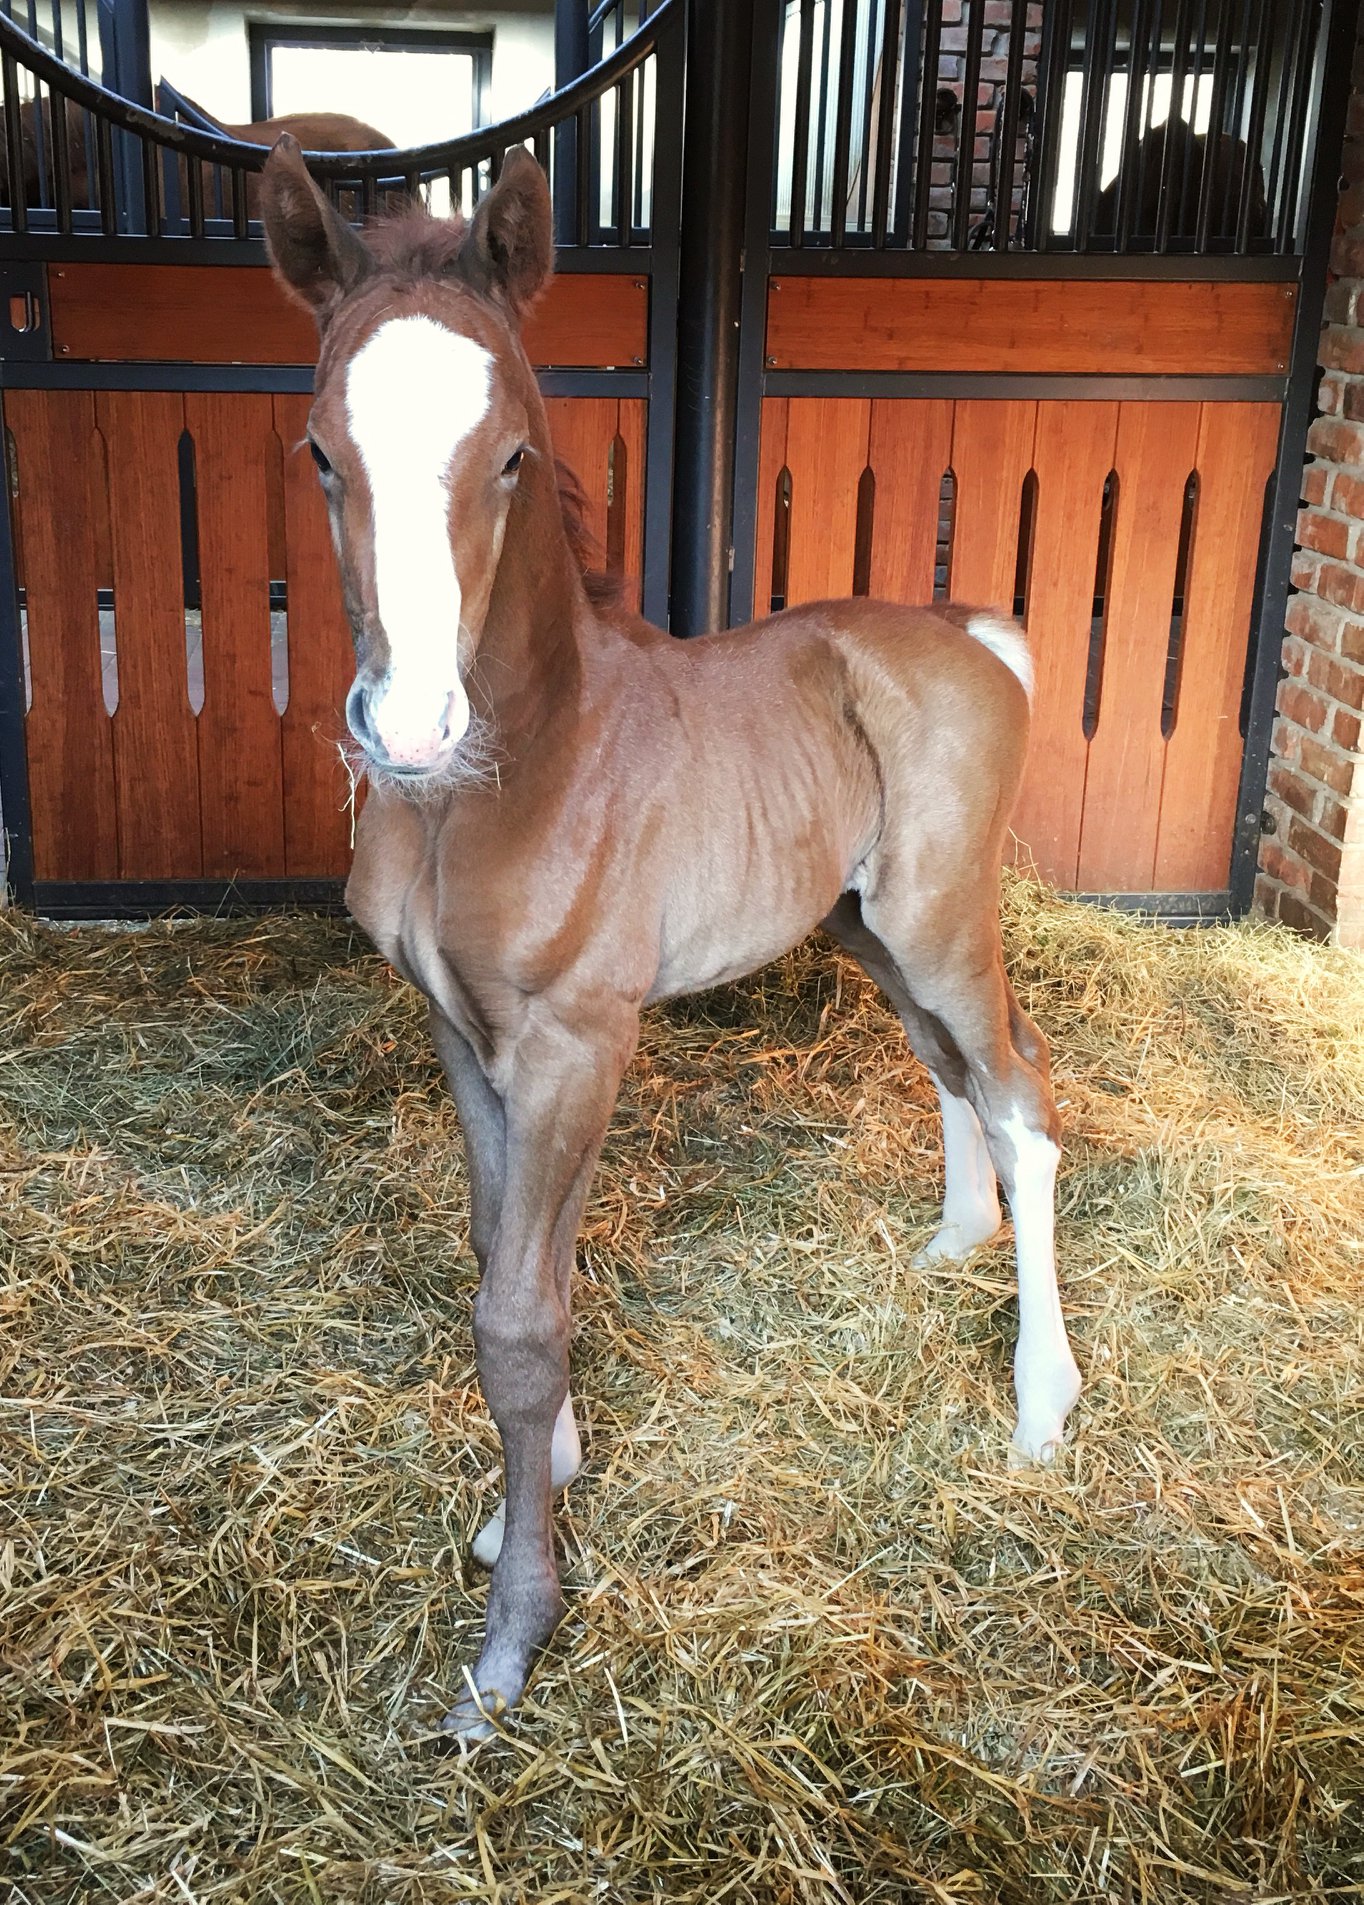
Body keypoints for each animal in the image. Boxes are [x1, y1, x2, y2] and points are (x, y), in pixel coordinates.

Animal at [259, 135, 1084, 1739]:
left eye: (512, 453)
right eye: (322, 452)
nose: (413, 729)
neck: (506, 778)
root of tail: (977, 633)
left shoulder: (580, 1040)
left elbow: (519, 1317)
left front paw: (510, 1644)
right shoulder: (468, 1037)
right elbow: (510, 1253)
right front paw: (533, 1494)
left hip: (941, 918)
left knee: (1022, 1098)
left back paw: (1040, 1404)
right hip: (867, 928)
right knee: (952, 1073)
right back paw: (953, 1241)